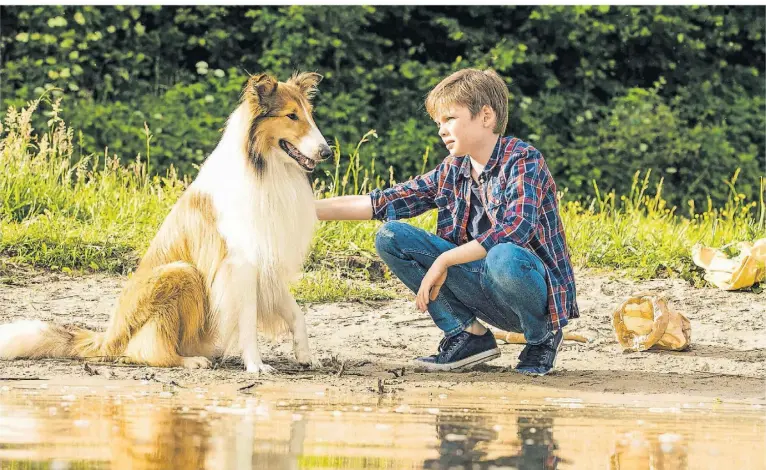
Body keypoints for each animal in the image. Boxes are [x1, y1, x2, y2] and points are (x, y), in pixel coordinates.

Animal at [0, 72, 330, 374]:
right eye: (291, 115)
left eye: (310, 115)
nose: (327, 152)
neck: (265, 169)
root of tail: (108, 338)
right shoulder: (241, 263)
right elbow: (247, 321)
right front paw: (256, 366)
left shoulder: (268, 261)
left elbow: (296, 313)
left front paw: (305, 355)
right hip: (180, 272)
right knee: (147, 350)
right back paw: (190, 361)